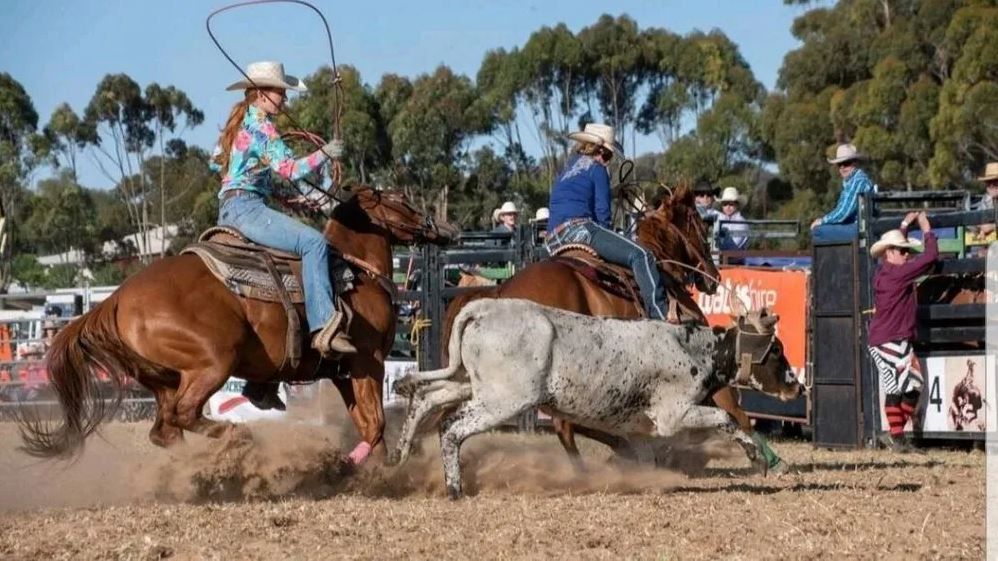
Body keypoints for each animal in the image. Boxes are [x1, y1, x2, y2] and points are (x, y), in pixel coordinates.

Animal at [20, 186, 458, 462]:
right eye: (402, 199)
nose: (446, 228)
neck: (354, 273)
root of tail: (115, 300)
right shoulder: (367, 361)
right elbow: (377, 421)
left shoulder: (341, 371)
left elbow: (369, 424)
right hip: (212, 362)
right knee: (184, 415)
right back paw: (236, 439)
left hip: (162, 379)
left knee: (165, 429)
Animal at [442, 186, 784, 470]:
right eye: (700, 225)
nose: (713, 277)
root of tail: (499, 292)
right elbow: (736, 411)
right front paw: (769, 459)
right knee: (567, 425)